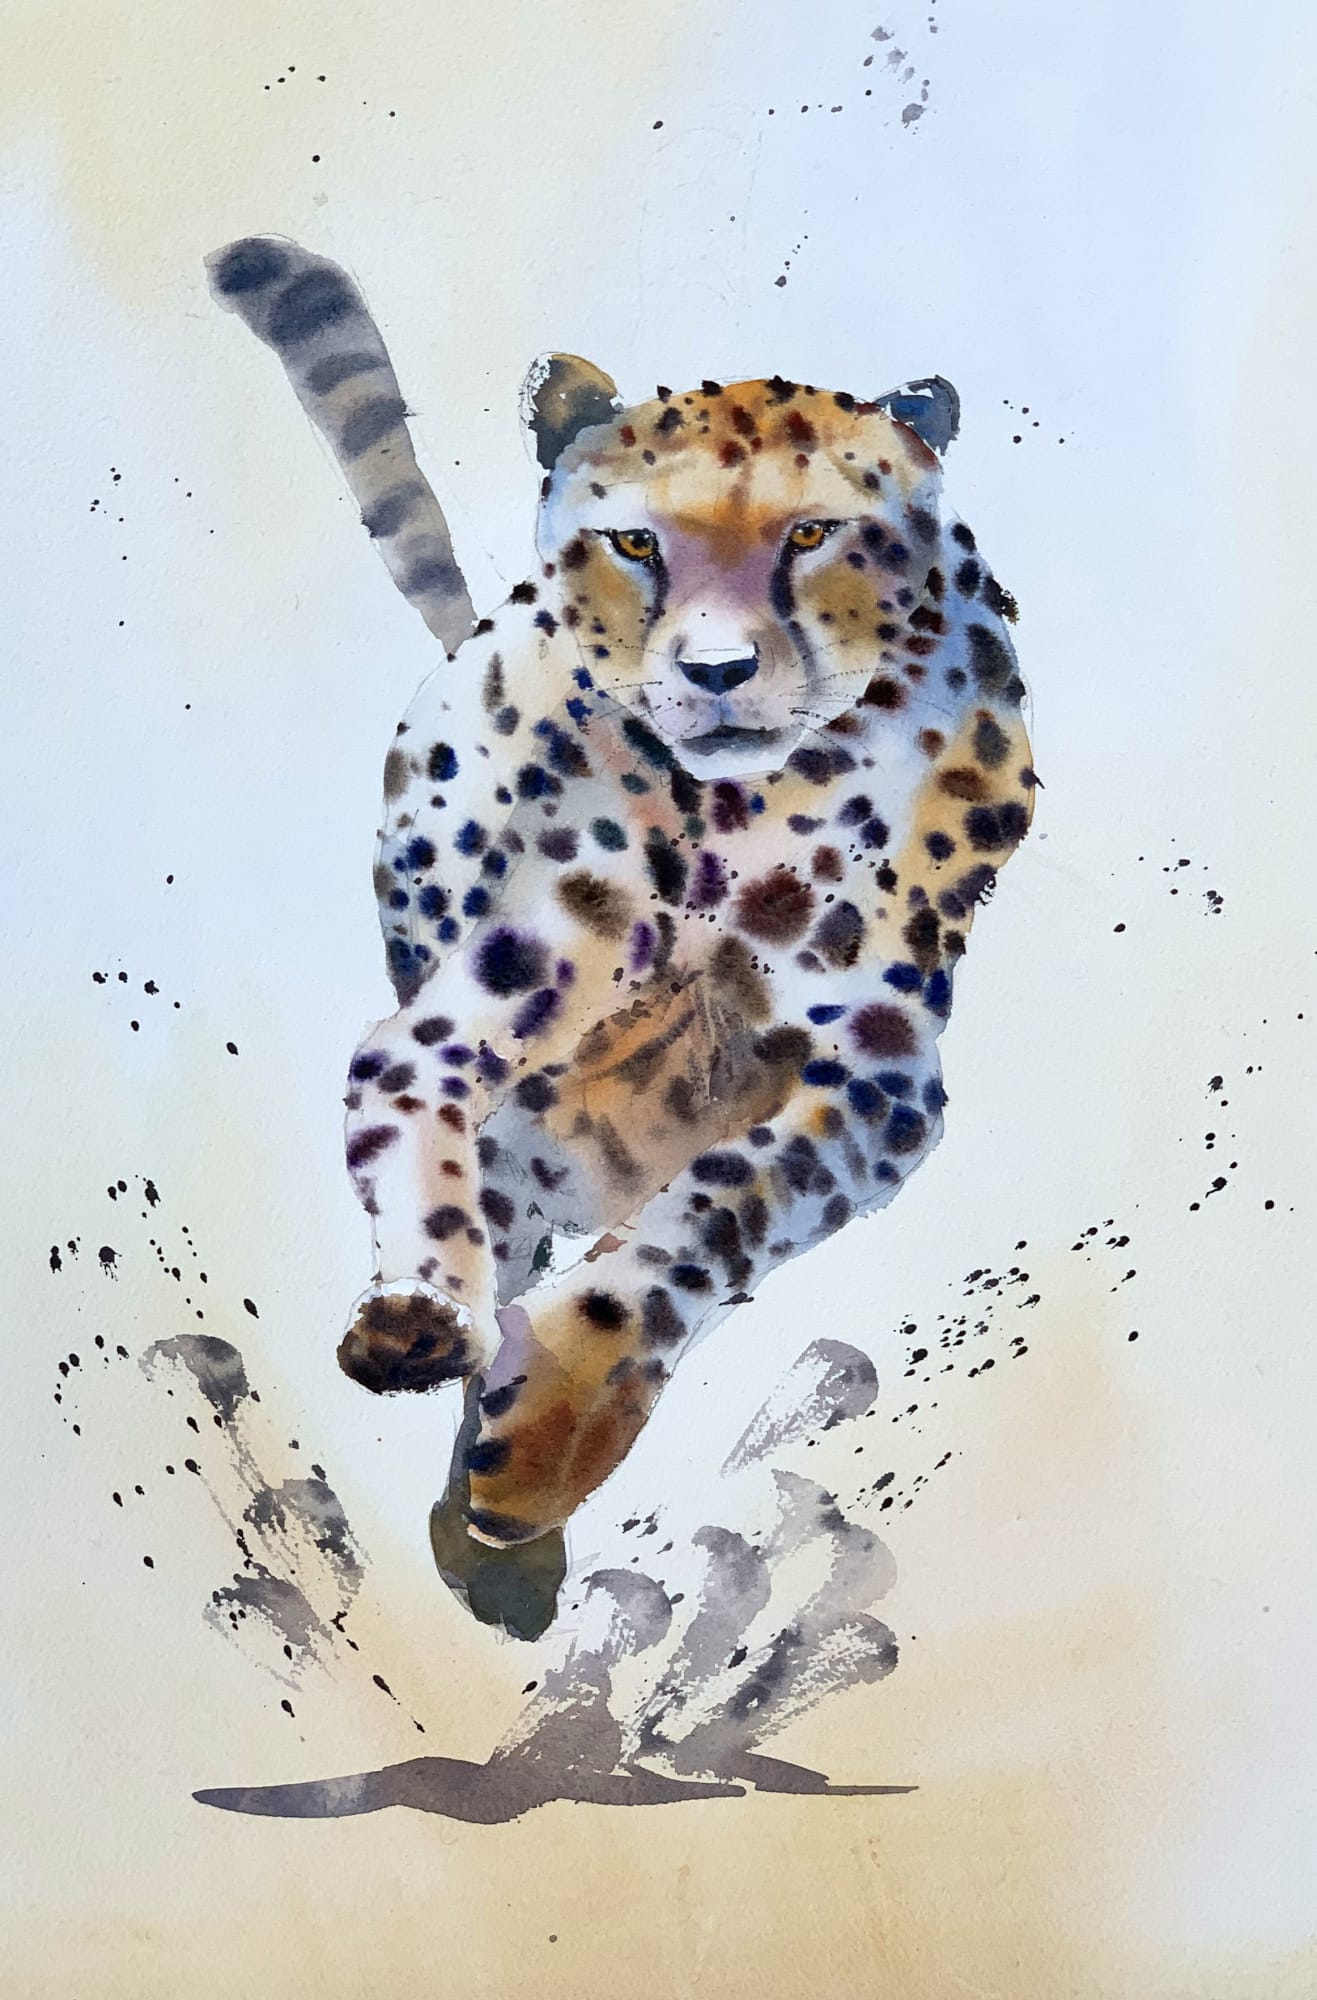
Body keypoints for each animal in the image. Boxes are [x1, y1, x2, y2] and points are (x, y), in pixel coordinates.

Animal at [208, 235, 1035, 1639]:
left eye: (813, 532)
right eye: (636, 542)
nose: (714, 671)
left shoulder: (879, 1075)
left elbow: (718, 1211)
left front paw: (543, 1438)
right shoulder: (540, 974)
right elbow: (424, 1091)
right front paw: (486, 1407)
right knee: (425, 1088)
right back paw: (429, 1330)